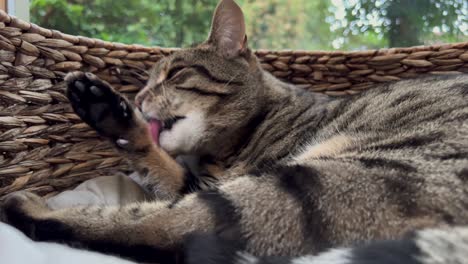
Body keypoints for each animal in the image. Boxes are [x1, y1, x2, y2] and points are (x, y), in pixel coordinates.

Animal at [0, 0, 468, 262]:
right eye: (148, 81)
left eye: (175, 74)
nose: (141, 96)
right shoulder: (198, 179)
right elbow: (162, 164)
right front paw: (110, 113)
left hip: (335, 181)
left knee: (165, 229)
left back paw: (31, 208)